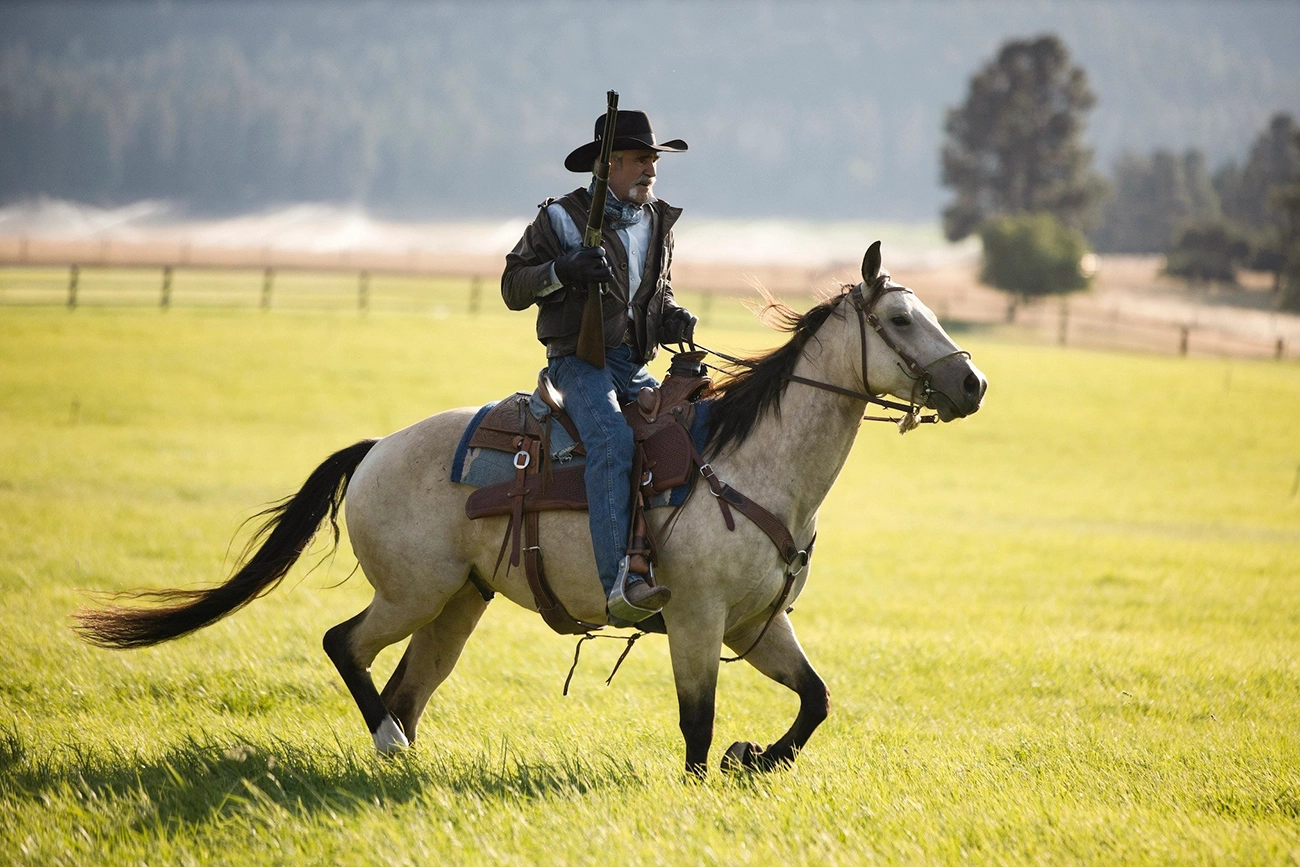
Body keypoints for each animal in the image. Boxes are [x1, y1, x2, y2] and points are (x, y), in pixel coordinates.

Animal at [76, 240, 982, 774]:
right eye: (900, 316)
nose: (973, 383)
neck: (749, 463)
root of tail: (375, 450)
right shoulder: (696, 620)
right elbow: (696, 728)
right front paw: (719, 766)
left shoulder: (758, 623)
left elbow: (815, 698)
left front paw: (755, 756)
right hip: (411, 592)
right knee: (346, 645)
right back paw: (388, 741)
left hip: (456, 604)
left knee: (405, 682)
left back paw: (402, 759)